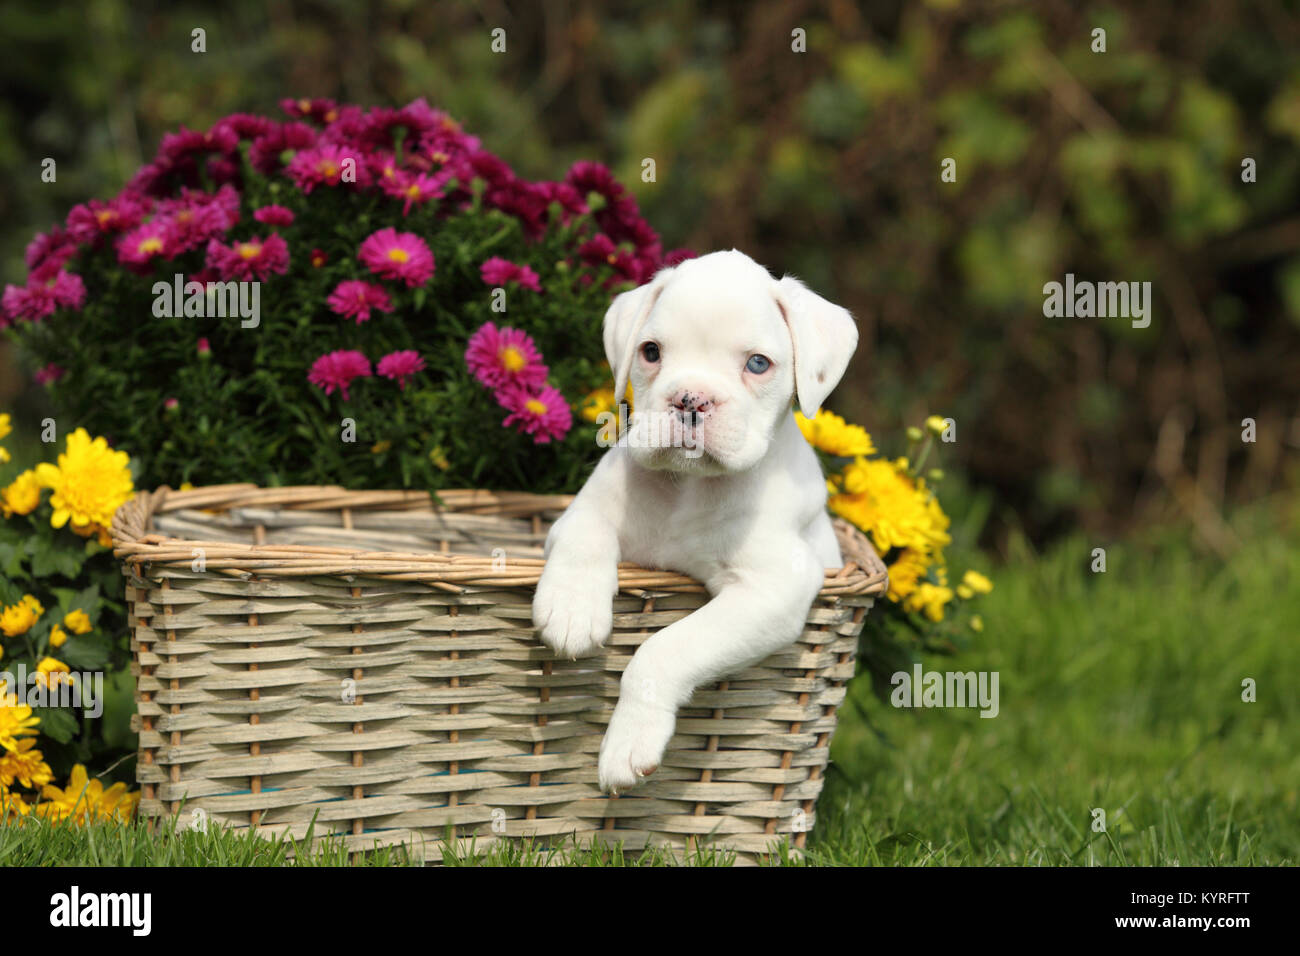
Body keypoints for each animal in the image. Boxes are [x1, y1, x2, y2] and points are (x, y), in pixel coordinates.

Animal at [533, 247, 857, 790]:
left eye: (757, 363)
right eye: (650, 352)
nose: (690, 399)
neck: (689, 487)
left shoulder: (771, 592)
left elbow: (665, 647)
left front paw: (628, 743)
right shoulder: (588, 507)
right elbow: (584, 534)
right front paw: (572, 609)